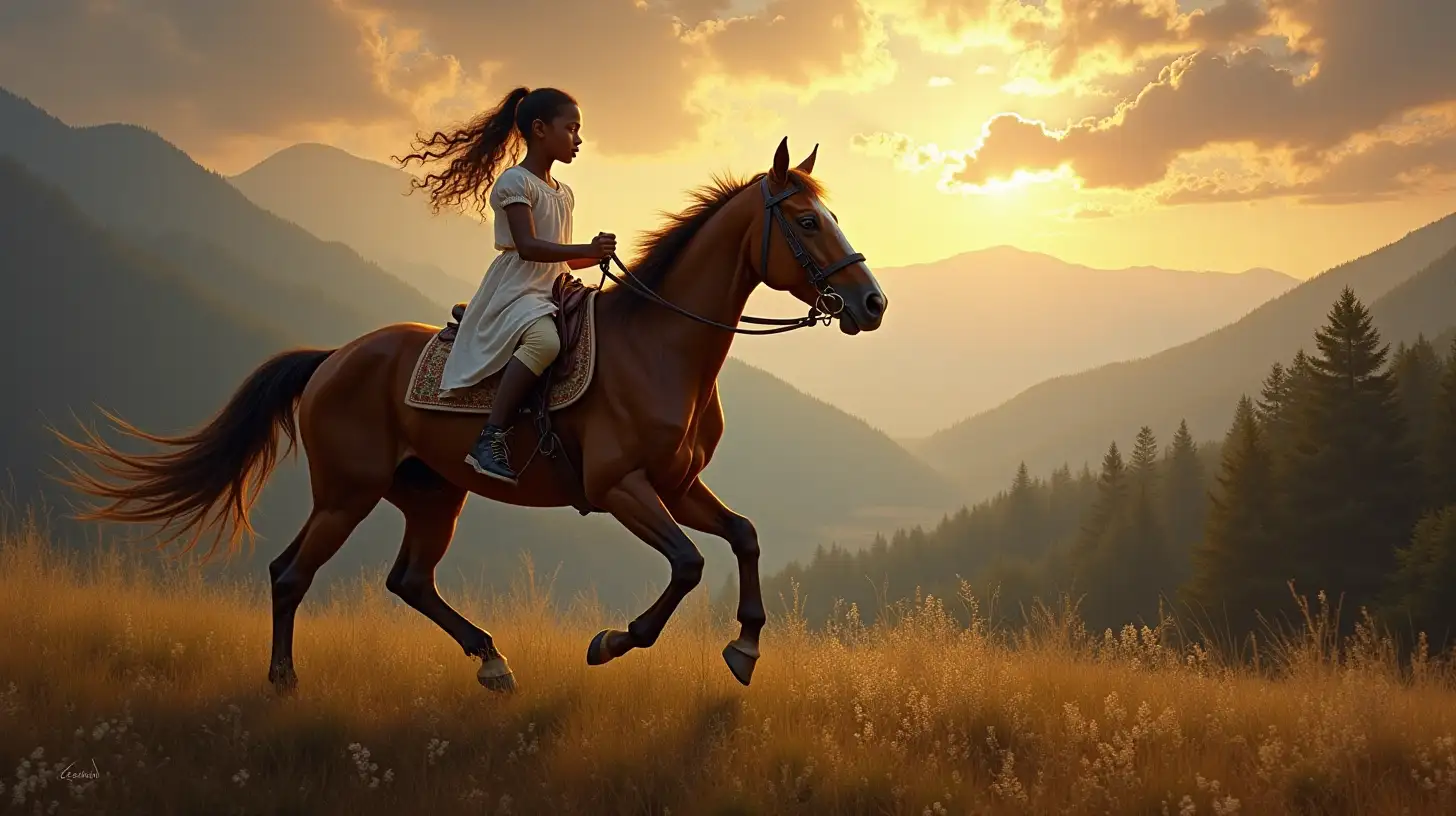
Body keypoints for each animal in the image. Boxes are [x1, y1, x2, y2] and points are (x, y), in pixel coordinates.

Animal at [56, 138, 885, 693]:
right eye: (806, 222)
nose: (871, 304)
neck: (660, 345)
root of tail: (332, 359)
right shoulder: (621, 487)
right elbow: (686, 564)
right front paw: (615, 641)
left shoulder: (676, 485)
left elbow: (743, 536)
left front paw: (745, 647)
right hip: (348, 494)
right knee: (292, 573)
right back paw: (285, 681)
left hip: (430, 493)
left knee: (406, 580)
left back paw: (491, 659)